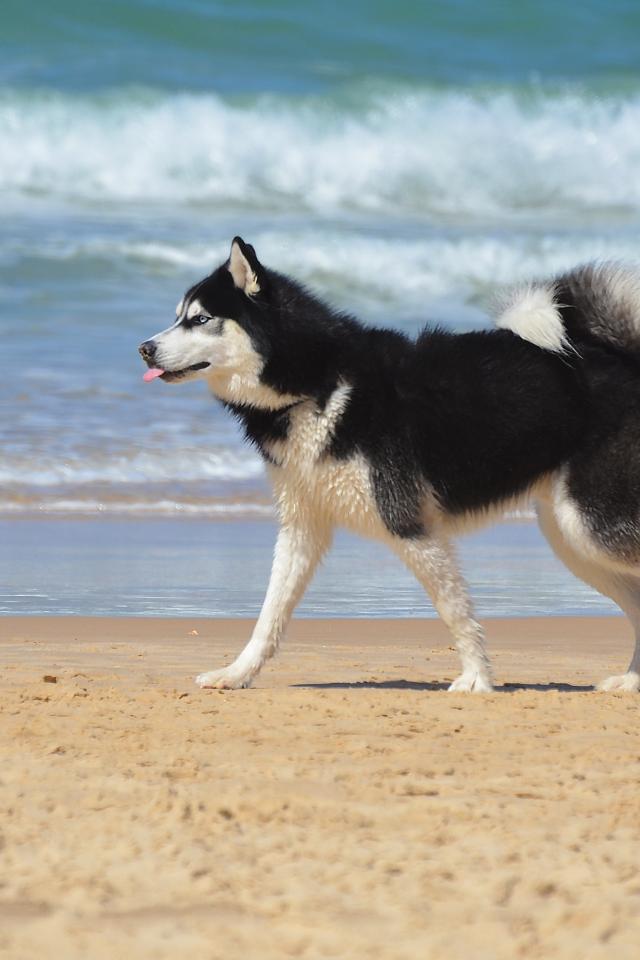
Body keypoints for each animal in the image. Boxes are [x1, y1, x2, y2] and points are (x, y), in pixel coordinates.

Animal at [139, 238, 640, 692]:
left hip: (590, 527)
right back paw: (631, 682)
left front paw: (477, 679)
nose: (144, 348)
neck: (319, 384)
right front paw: (236, 673)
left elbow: (455, 612)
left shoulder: (407, 522)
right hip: (573, 537)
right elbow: (269, 615)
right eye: (178, 316)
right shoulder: (302, 526)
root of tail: (624, 360)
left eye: (200, 319)